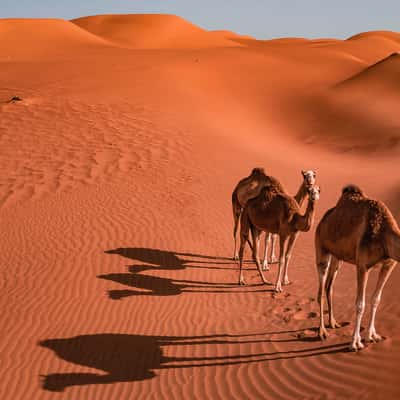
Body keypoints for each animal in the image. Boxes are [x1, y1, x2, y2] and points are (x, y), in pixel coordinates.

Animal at [316, 184, 400, 350]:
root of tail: (323, 219)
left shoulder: (388, 264)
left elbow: (376, 299)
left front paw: (372, 335)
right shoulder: (362, 265)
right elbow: (360, 304)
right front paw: (355, 343)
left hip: (338, 258)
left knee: (329, 286)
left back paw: (333, 323)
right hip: (321, 250)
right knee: (321, 290)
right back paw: (322, 332)